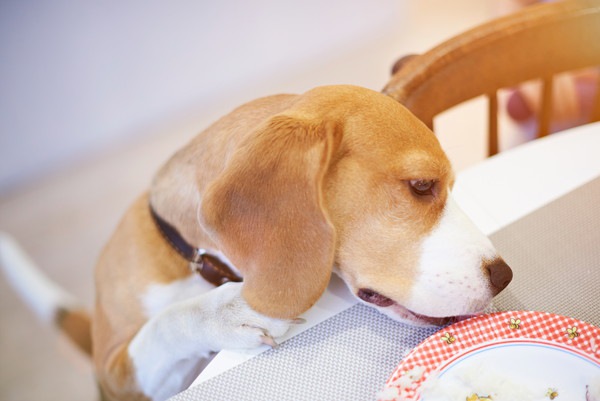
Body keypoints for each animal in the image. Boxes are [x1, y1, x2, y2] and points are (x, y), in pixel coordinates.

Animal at [0, 83, 510, 396]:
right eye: (421, 185)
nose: (504, 276)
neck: (197, 263)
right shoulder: (114, 373)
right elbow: (163, 325)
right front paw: (227, 312)